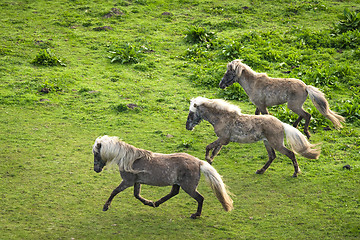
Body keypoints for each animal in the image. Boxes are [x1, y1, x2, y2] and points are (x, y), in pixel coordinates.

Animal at [93, 136, 233, 218]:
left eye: (96, 154)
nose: (96, 170)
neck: (130, 160)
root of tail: (199, 162)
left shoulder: (127, 181)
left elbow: (115, 191)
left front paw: (105, 206)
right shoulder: (136, 181)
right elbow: (137, 195)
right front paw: (148, 202)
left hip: (189, 187)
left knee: (200, 198)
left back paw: (196, 215)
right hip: (177, 183)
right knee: (174, 192)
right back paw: (156, 203)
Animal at [186, 96, 320, 177]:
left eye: (191, 113)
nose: (187, 127)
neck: (222, 118)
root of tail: (281, 124)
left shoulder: (223, 139)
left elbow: (209, 147)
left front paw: (207, 159)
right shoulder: (223, 140)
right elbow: (215, 151)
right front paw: (210, 161)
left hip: (276, 144)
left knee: (290, 154)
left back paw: (295, 173)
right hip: (267, 143)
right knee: (272, 156)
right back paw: (260, 171)